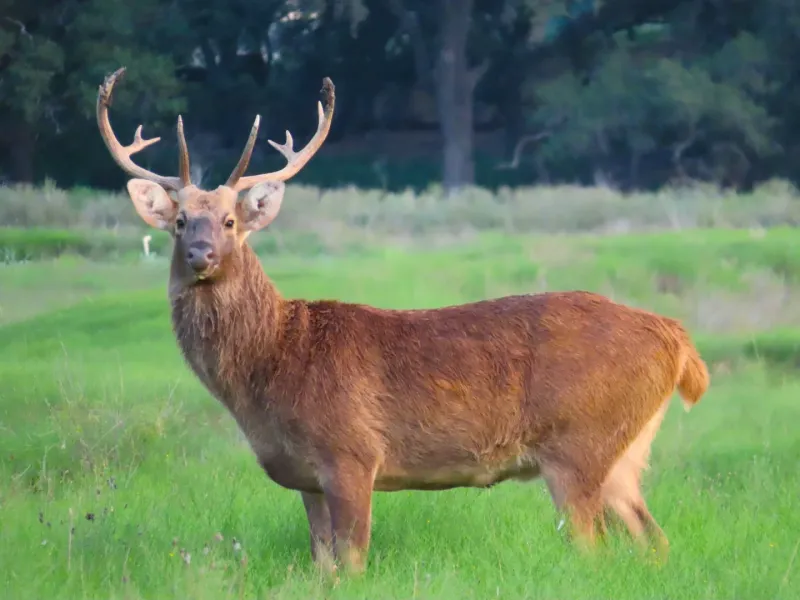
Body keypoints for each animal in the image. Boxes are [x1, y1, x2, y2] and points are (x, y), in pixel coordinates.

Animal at [97, 67, 708, 576]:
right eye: (179, 221)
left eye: (229, 221)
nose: (201, 254)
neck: (273, 364)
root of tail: (677, 340)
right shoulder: (304, 477)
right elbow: (322, 566)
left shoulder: (351, 451)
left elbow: (353, 563)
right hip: (625, 451)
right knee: (656, 541)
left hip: (579, 442)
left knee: (597, 547)